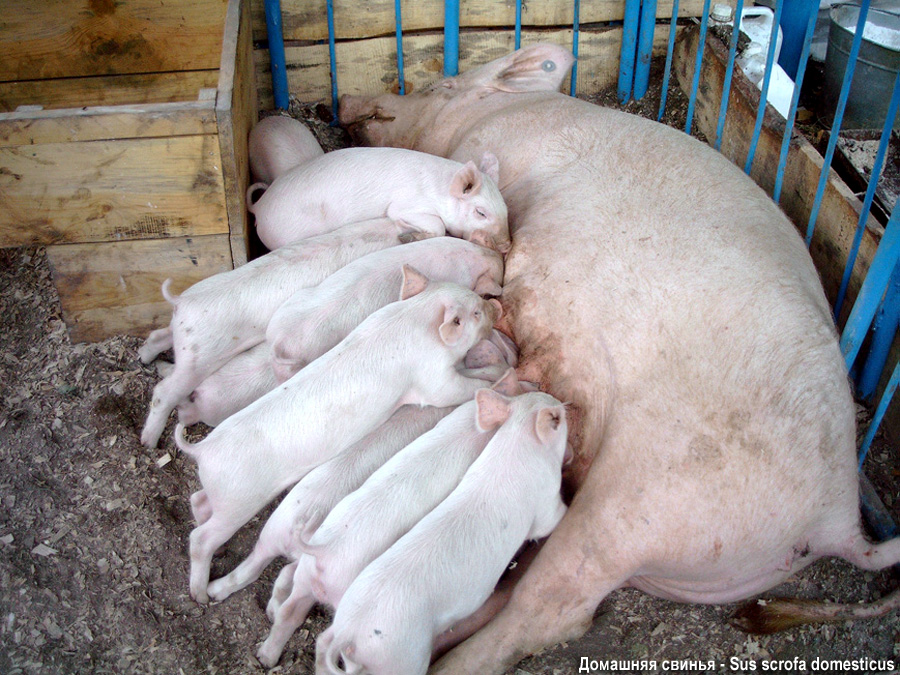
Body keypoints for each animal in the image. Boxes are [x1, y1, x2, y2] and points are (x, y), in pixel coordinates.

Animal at [336, 45, 900, 672]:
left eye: (440, 85)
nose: (346, 100)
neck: (500, 112)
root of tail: (838, 521)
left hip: (642, 501)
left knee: (552, 608)